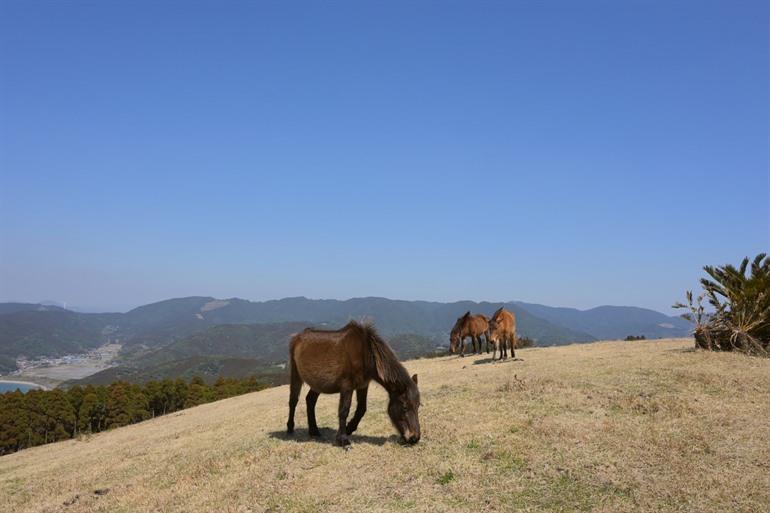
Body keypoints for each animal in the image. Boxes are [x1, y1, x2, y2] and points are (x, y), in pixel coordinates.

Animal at [286, 320, 421, 447]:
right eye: (404, 407)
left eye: (418, 405)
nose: (415, 438)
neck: (364, 353)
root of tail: (297, 337)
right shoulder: (347, 386)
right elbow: (344, 410)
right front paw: (343, 440)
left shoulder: (363, 385)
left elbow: (361, 409)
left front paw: (349, 429)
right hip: (295, 374)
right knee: (293, 401)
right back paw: (290, 428)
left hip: (317, 384)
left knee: (310, 400)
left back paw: (314, 431)